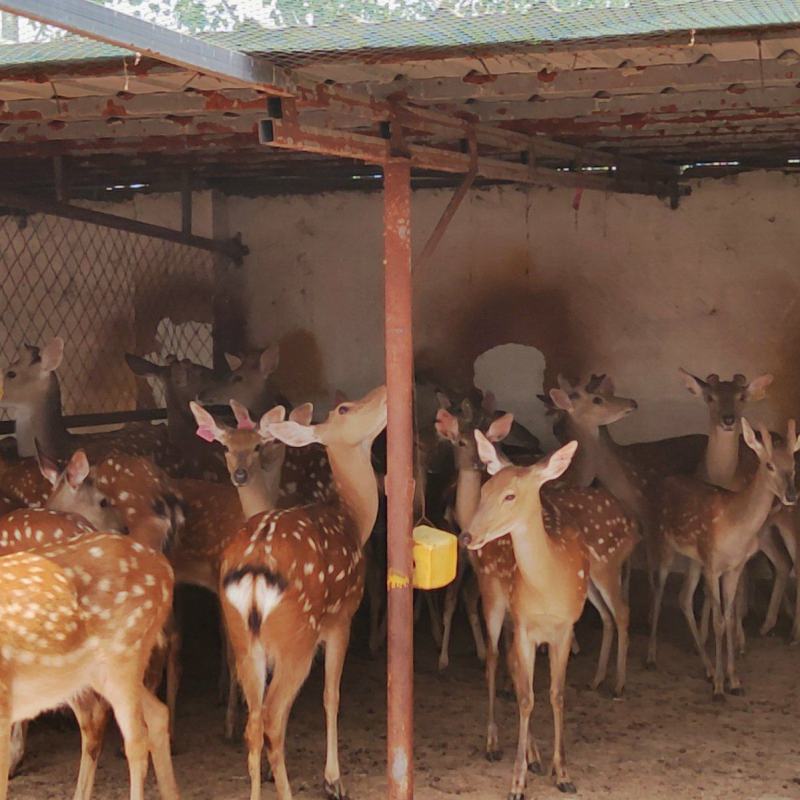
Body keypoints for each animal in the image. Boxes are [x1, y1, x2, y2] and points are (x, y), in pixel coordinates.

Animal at [217, 385, 386, 800]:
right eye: (345, 409)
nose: (385, 392)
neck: (353, 519)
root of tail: (255, 570)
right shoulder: (342, 618)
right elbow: (331, 696)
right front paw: (333, 779)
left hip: (244, 641)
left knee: (253, 722)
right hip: (296, 639)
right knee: (272, 718)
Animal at [459, 437, 588, 797]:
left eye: (510, 495)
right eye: (484, 489)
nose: (467, 536)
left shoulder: (566, 628)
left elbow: (557, 695)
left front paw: (563, 774)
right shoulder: (525, 625)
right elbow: (528, 698)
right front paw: (517, 783)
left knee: (513, 670)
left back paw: (535, 757)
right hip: (493, 596)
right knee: (493, 659)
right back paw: (494, 744)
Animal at [649, 418, 800, 699]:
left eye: (793, 466)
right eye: (769, 465)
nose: (791, 496)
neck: (734, 526)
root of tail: (664, 482)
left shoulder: (733, 567)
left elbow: (730, 619)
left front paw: (734, 681)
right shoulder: (712, 564)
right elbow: (719, 621)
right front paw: (719, 688)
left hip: (694, 559)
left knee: (684, 597)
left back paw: (707, 666)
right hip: (663, 543)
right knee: (658, 590)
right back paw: (651, 657)